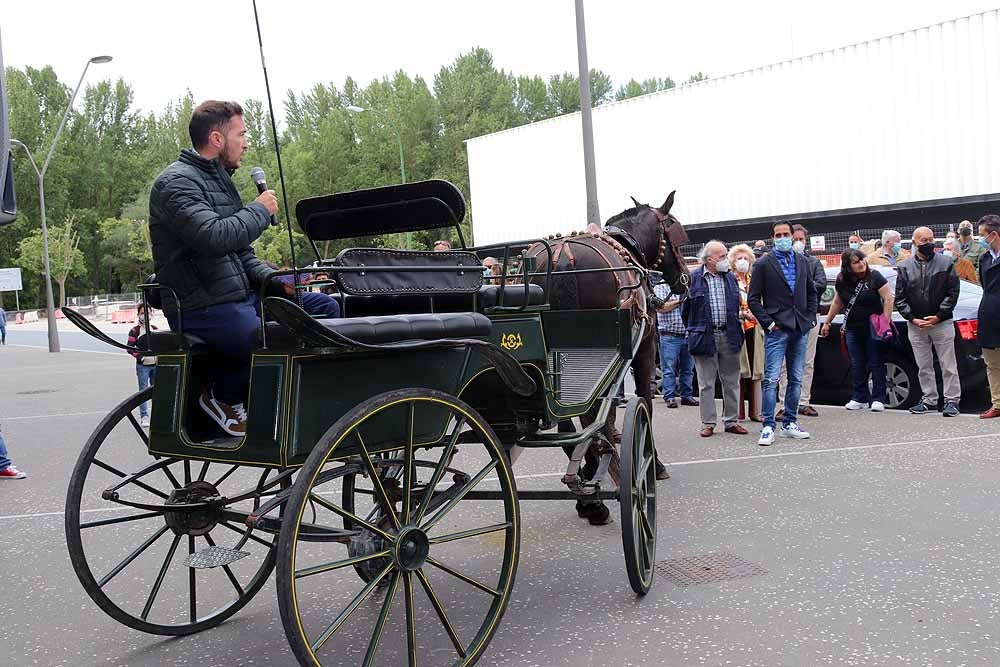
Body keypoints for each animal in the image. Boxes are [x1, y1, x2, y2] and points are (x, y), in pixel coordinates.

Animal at [524, 196, 696, 524]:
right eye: (676, 238)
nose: (685, 278)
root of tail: (562, 258)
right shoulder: (643, 351)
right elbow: (643, 403)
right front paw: (652, 462)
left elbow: (606, 414)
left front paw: (596, 464)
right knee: (585, 422)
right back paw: (598, 494)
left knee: (569, 426)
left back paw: (588, 491)